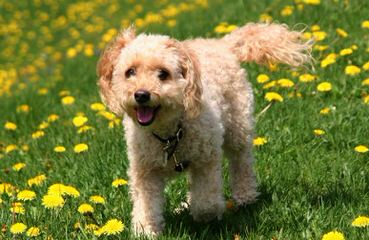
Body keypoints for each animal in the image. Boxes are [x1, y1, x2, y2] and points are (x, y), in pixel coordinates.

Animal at [97, 21, 310, 235]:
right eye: (130, 72)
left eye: (163, 74)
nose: (141, 94)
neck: (169, 133)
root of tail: (222, 44)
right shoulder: (145, 171)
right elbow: (145, 205)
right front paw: (146, 230)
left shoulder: (206, 161)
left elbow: (206, 203)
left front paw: (204, 215)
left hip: (238, 127)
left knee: (241, 160)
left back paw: (245, 195)